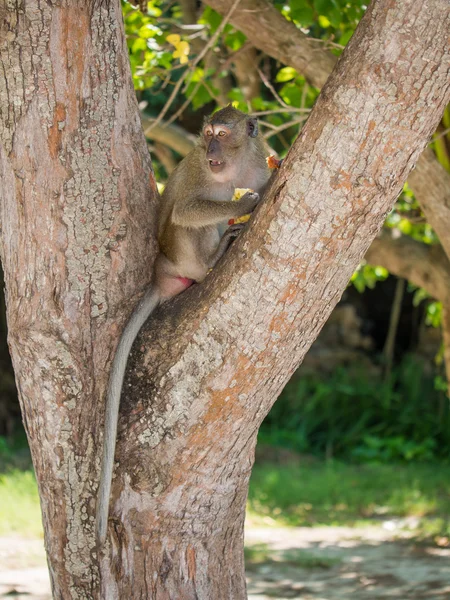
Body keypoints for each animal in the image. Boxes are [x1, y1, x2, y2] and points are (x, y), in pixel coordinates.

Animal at [96, 105, 270, 548]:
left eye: (222, 134)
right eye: (207, 133)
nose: (210, 150)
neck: (233, 169)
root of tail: (161, 272)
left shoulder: (254, 163)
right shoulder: (198, 174)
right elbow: (187, 210)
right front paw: (252, 200)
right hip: (180, 253)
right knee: (194, 221)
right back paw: (214, 256)